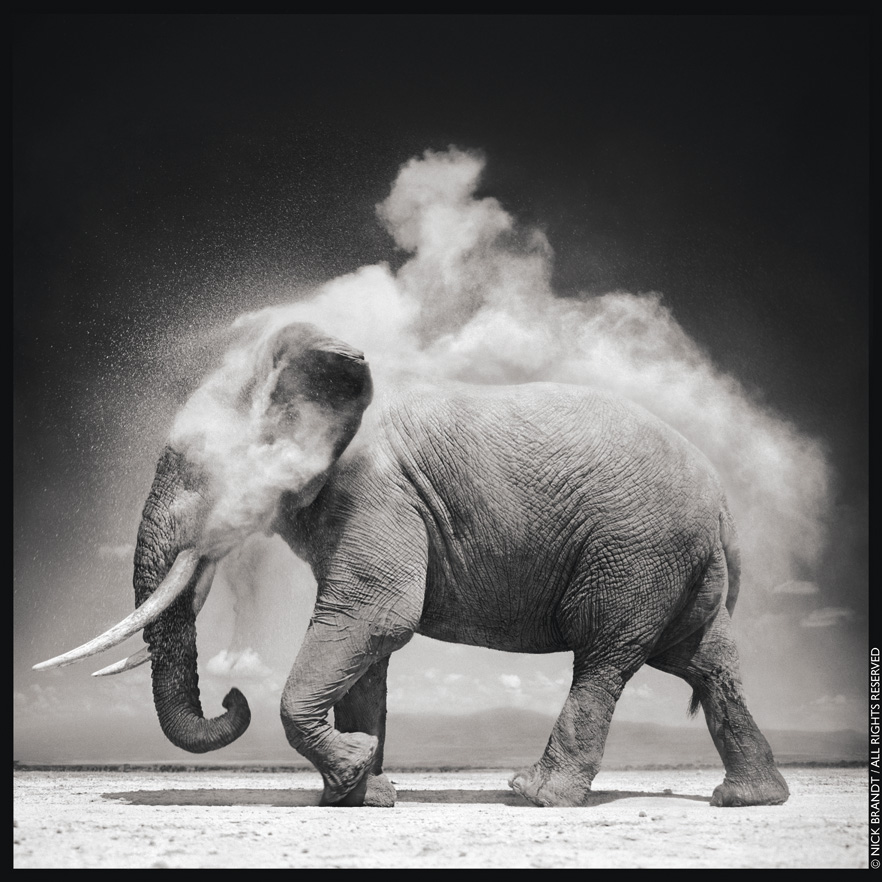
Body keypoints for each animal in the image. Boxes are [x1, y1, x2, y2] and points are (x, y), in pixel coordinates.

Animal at [35, 320, 790, 809]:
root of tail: (724, 504)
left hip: (636, 551)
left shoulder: (378, 492)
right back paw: (748, 800)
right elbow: (368, 649)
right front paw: (362, 793)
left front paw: (352, 775)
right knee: (705, 663)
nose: (231, 698)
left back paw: (535, 796)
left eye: (199, 471)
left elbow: (377, 616)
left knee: (605, 658)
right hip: (676, 562)